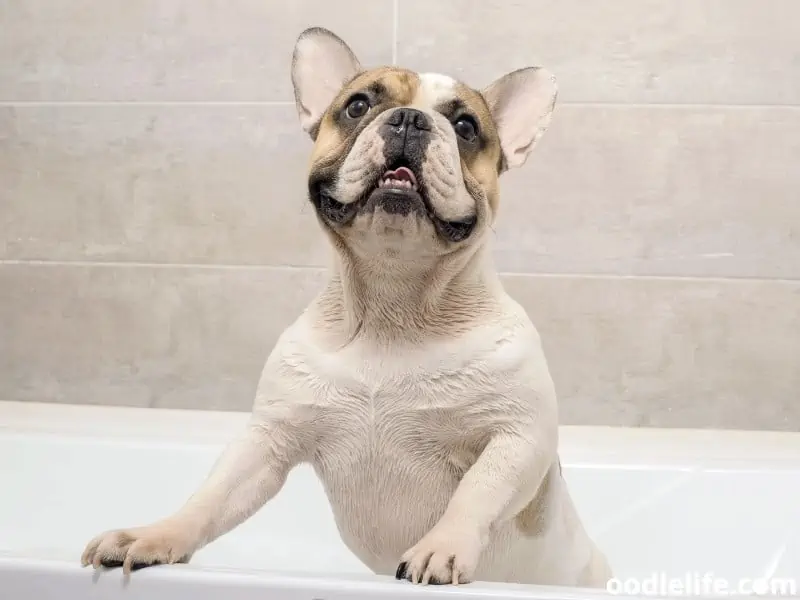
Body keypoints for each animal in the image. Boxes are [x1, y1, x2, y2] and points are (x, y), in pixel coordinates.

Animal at [81, 28, 608, 584]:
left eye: (466, 126)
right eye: (358, 105)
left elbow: (478, 491)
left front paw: (441, 546)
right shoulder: (268, 441)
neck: (393, 302)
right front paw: (155, 535)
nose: (410, 119)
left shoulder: (517, 435)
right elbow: (212, 496)